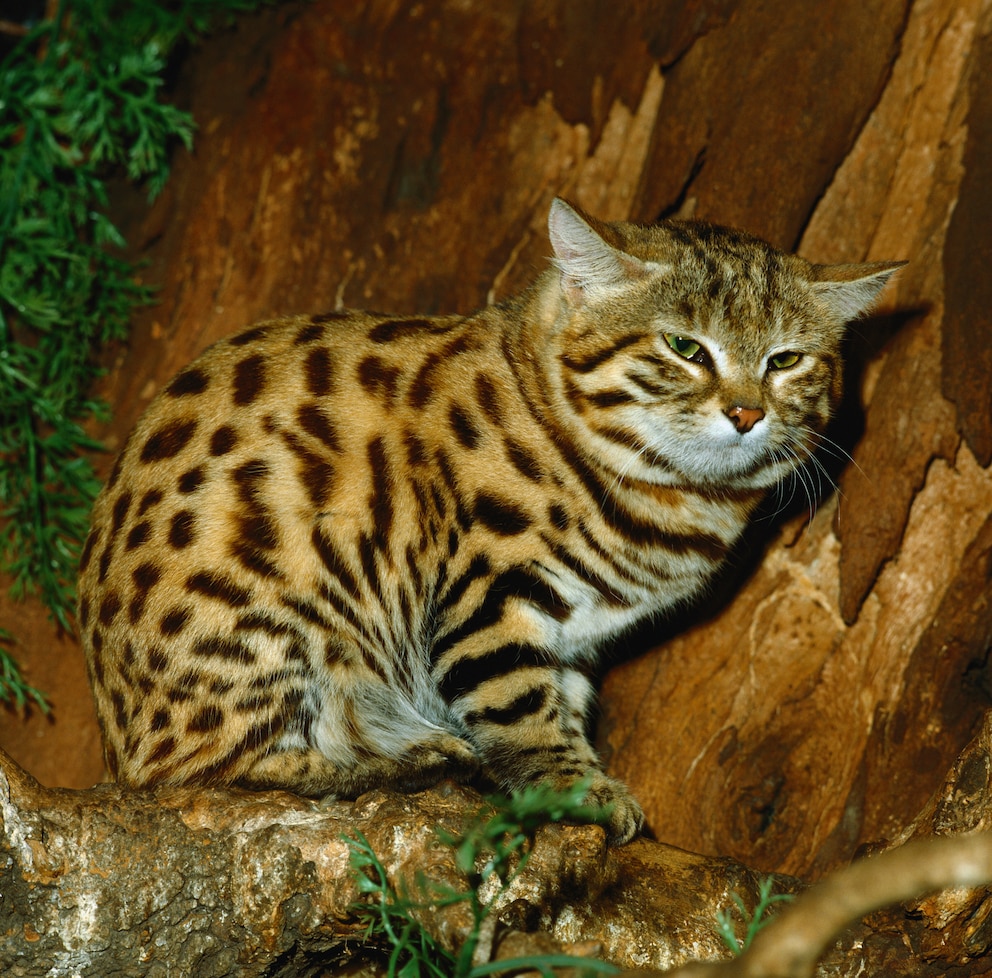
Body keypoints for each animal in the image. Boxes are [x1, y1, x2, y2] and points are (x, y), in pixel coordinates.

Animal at [75, 198, 900, 840]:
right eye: (684, 347)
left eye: (786, 360)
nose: (747, 413)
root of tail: (112, 736)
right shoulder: (488, 592)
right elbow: (523, 710)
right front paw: (579, 791)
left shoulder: (572, 637)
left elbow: (562, 705)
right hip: (285, 621)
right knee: (203, 770)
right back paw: (404, 758)